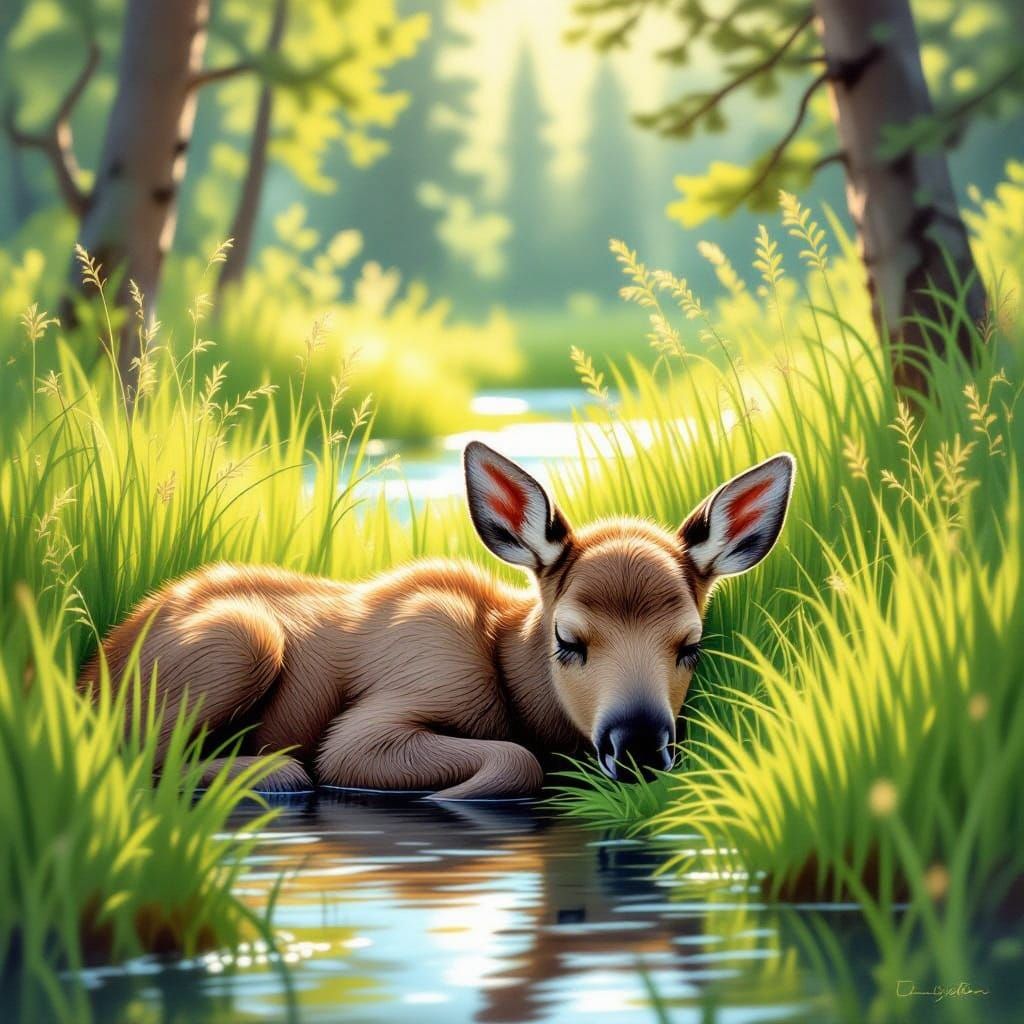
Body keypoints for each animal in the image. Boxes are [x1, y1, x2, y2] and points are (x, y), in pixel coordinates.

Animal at [79, 442, 795, 799]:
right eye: (568, 639)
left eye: (691, 645)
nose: (641, 743)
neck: (510, 679)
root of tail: (89, 675)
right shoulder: (386, 715)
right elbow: (515, 762)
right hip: (239, 641)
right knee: (133, 758)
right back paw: (273, 775)